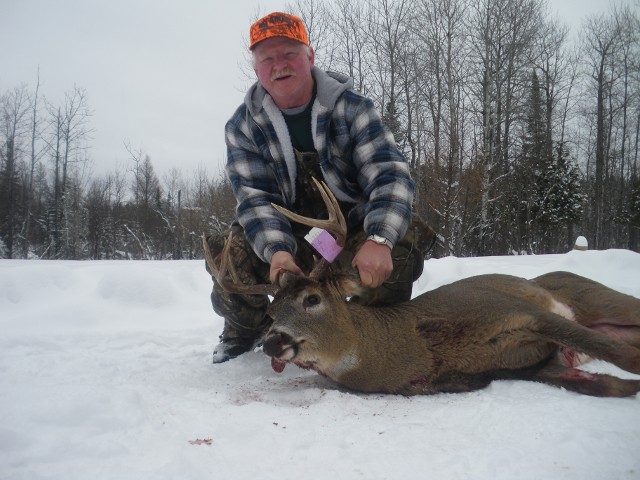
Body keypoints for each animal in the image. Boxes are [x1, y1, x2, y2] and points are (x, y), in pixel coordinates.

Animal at [203, 179, 640, 398]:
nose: (272, 342)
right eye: (271, 312)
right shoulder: (537, 365)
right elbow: (613, 384)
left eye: (312, 299)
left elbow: (623, 357)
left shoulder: (516, 310)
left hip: (591, 295)